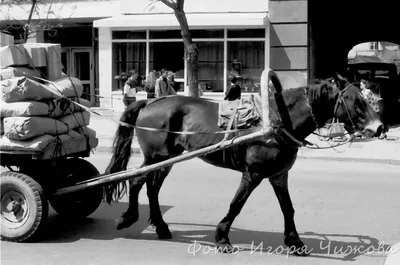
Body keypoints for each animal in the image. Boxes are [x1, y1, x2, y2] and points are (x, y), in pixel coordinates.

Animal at [103, 73, 382, 254]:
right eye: (356, 100)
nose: (379, 127)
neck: (279, 119)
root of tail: (150, 101)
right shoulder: (253, 174)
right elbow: (236, 204)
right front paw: (222, 237)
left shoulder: (279, 175)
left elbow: (288, 208)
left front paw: (295, 242)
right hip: (155, 157)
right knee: (137, 182)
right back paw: (129, 217)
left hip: (168, 159)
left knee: (152, 188)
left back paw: (160, 226)